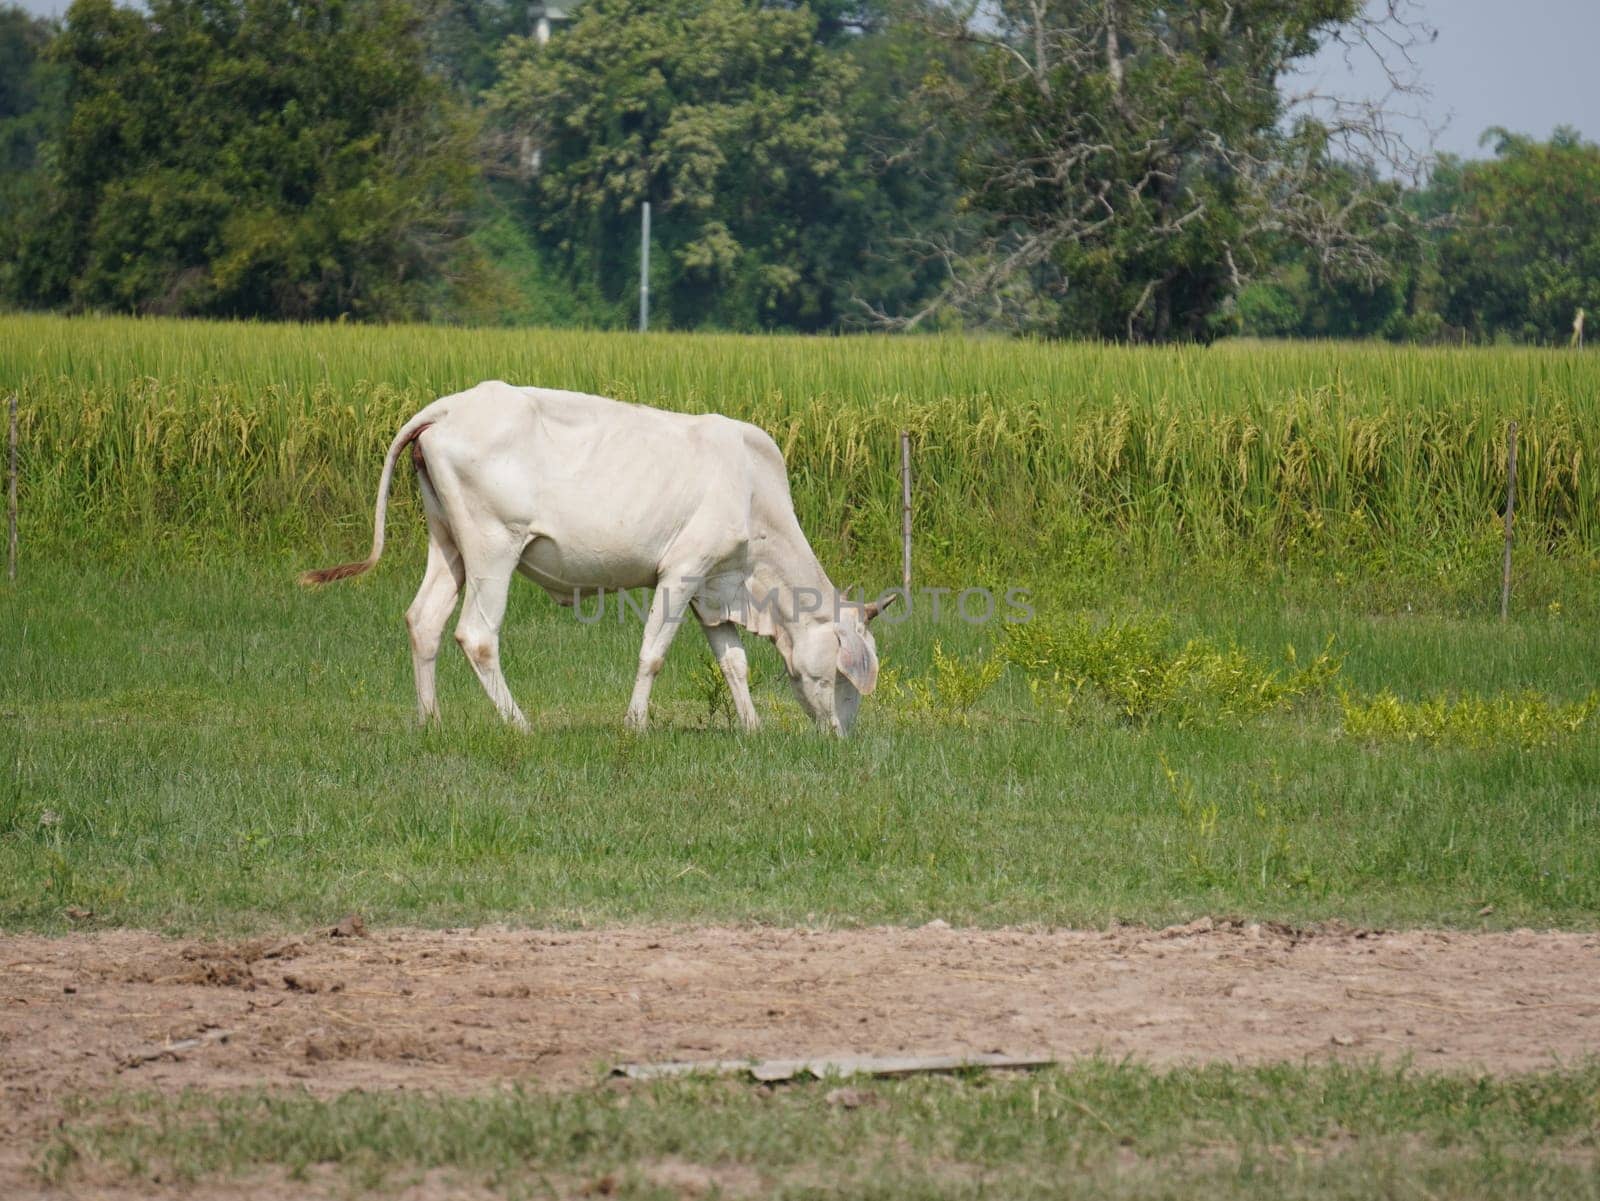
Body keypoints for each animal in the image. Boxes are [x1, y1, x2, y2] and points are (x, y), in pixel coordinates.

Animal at [299, 385, 896, 738]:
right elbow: (653, 654)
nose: (842, 735)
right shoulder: (682, 571)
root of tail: (448, 406)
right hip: (493, 548)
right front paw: (634, 725)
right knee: (476, 635)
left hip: (448, 544)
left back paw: (431, 722)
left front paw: (751, 729)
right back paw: (521, 726)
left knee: (424, 620)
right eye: (845, 675)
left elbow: (734, 663)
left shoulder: (711, 589)